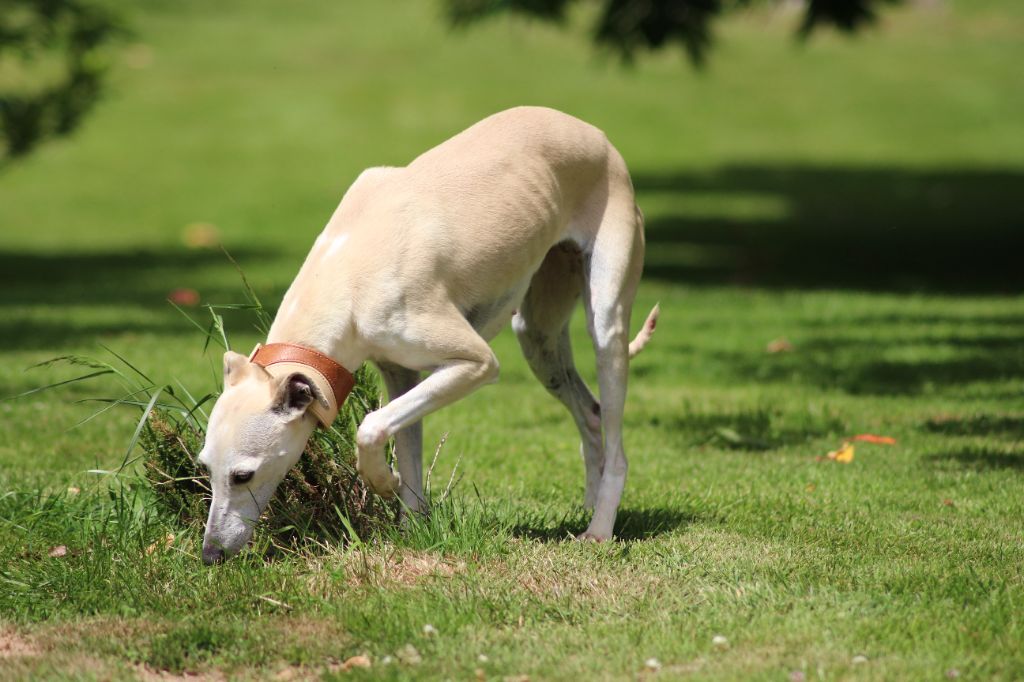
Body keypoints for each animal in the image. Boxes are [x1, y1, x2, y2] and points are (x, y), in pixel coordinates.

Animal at [196, 107, 659, 561]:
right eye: (205, 468)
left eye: (243, 475)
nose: (210, 554)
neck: (347, 269)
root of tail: (595, 134)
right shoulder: (399, 372)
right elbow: (403, 444)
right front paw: (410, 526)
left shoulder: (476, 363)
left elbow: (370, 425)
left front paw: (384, 482)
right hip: (538, 335)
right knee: (590, 412)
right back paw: (589, 504)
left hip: (606, 318)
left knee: (617, 440)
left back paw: (599, 529)